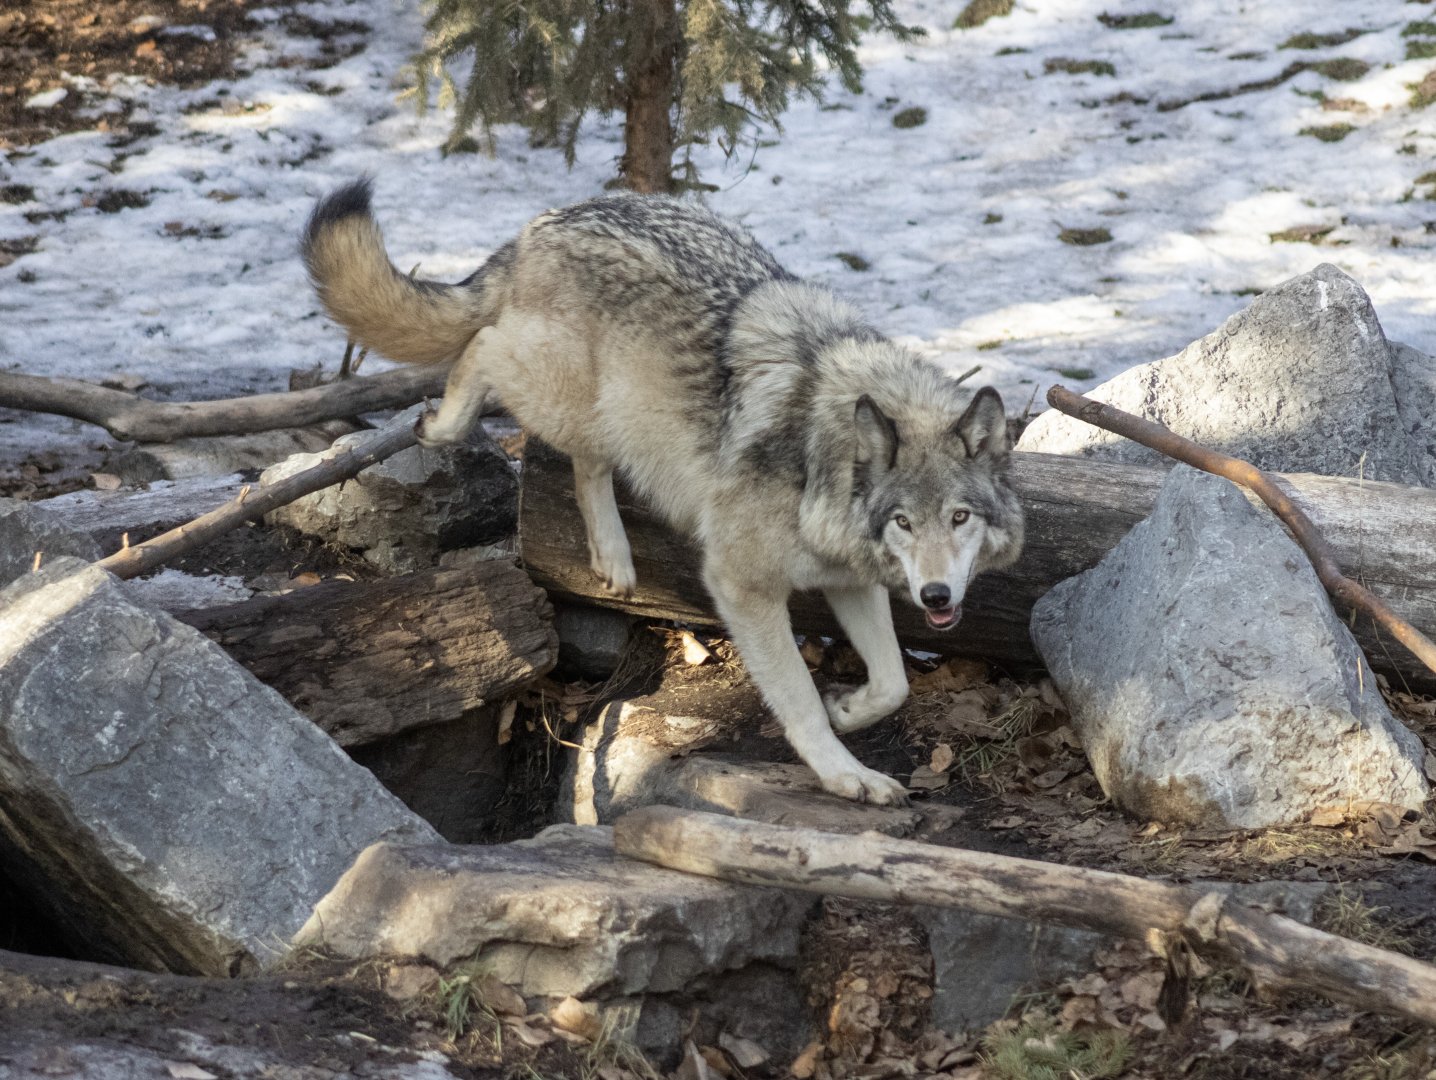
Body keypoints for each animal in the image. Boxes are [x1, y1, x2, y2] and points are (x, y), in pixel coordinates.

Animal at [302, 180, 1024, 804]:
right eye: (903, 522)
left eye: (959, 517)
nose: (937, 596)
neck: (823, 457)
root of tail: (542, 223)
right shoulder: (742, 585)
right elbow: (797, 698)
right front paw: (844, 772)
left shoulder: (849, 577)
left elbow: (894, 682)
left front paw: (849, 711)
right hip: (563, 395)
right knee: (481, 346)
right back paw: (447, 426)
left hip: (609, 412)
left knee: (586, 462)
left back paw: (614, 561)